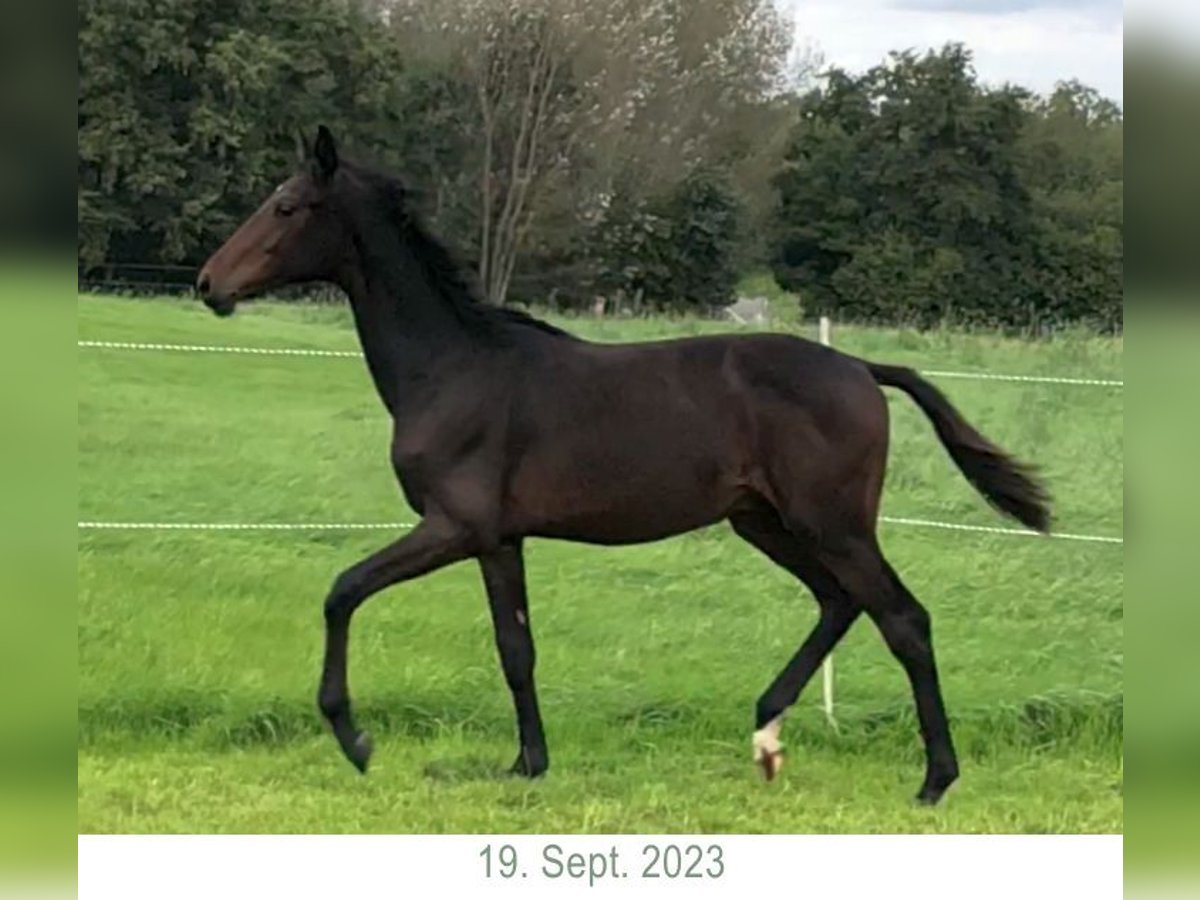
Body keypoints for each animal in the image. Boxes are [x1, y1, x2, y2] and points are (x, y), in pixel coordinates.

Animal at [199, 125, 1051, 801]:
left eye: (286, 206)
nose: (209, 283)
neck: (453, 369)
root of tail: (864, 370)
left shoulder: (452, 526)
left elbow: (342, 592)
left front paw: (355, 740)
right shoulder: (498, 540)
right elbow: (516, 650)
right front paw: (527, 764)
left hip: (831, 523)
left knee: (903, 618)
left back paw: (935, 778)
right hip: (764, 522)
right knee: (839, 603)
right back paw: (765, 734)